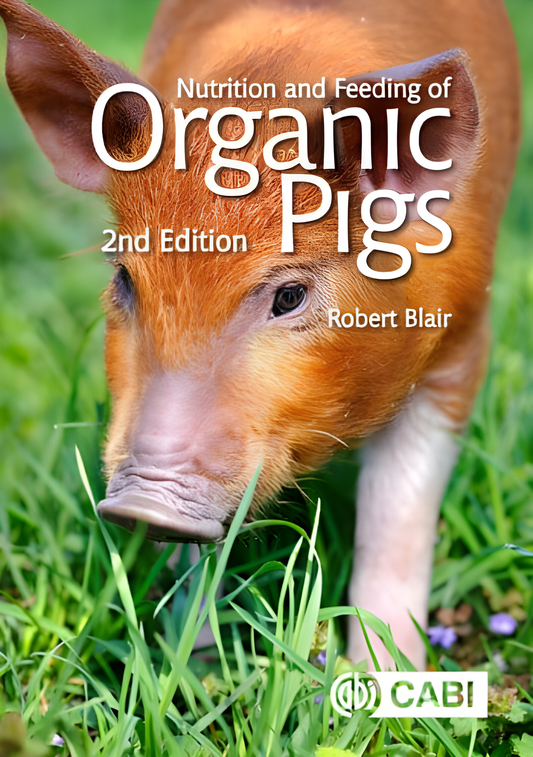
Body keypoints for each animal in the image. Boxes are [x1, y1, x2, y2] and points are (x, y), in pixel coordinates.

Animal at [0, 0, 520, 669]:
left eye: (289, 296)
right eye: (124, 278)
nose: (142, 504)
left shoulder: (462, 342)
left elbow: (397, 516)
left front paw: (381, 677)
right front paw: (193, 661)